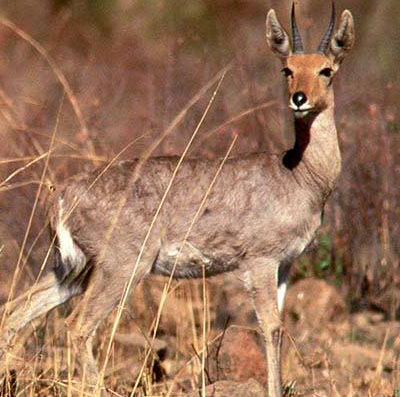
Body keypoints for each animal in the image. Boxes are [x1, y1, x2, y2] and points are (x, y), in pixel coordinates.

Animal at [0, 3, 356, 396]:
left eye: (326, 69)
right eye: (287, 68)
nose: (299, 99)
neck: (299, 174)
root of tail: (62, 195)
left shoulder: (286, 265)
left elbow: (277, 328)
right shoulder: (260, 261)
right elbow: (270, 328)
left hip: (73, 269)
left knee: (15, 310)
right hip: (121, 267)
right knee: (77, 325)